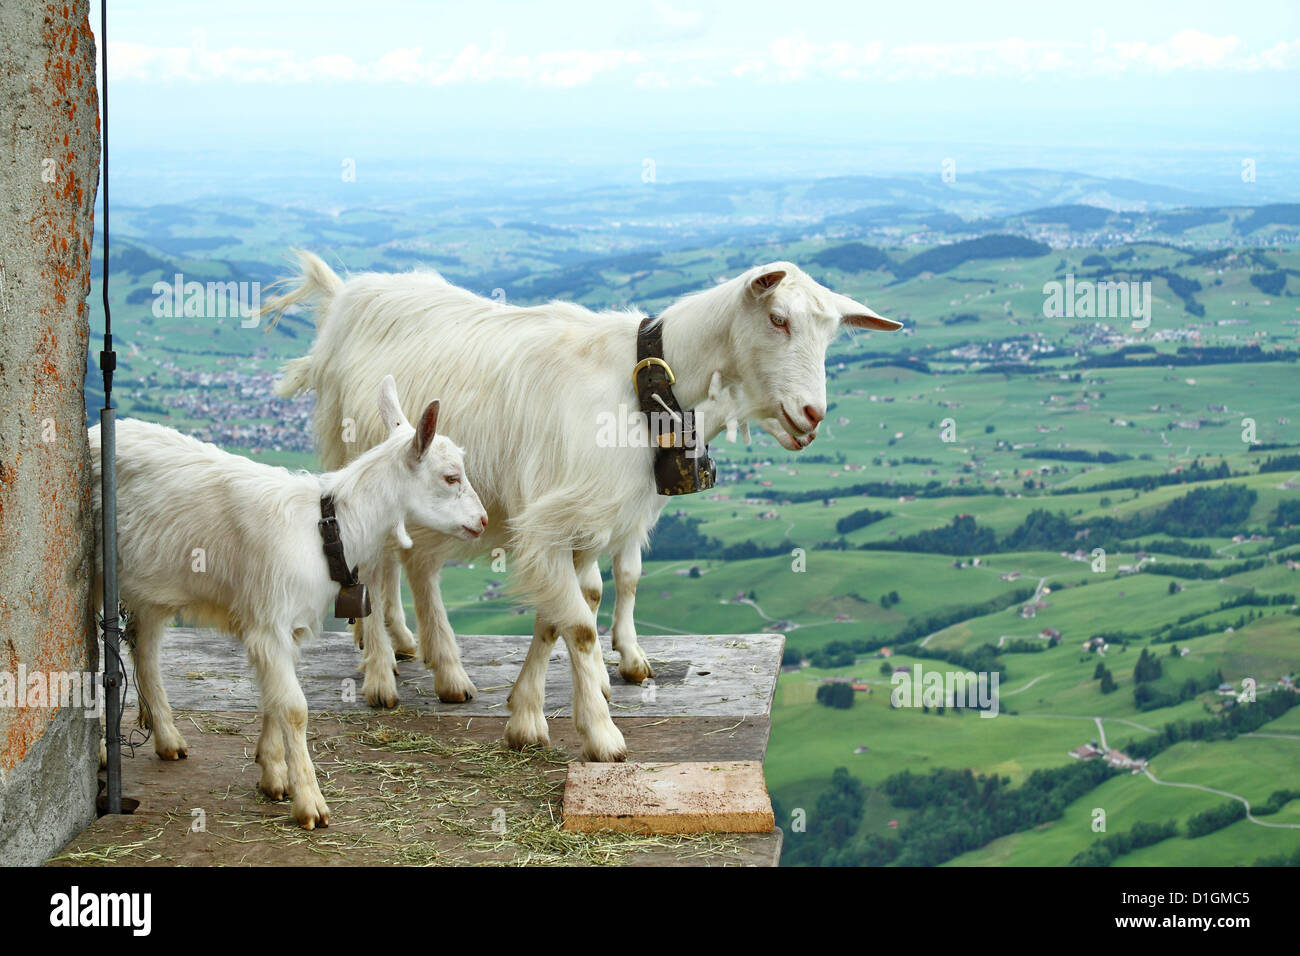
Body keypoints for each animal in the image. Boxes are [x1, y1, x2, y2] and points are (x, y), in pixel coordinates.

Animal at [89, 376, 487, 828]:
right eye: (451, 477)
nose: (483, 521)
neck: (327, 527)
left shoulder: (288, 627)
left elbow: (273, 699)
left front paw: (273, 773)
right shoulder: (269, 621)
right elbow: (294, 707)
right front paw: (310, 802)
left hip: (154, 585)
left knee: (145, 647)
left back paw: (168, 738)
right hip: (98, 570)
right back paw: (103, 752)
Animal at [268, 252, 900, 760]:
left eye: (830, 336)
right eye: (777, 319)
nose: (812, 415)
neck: (642, 387)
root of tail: (346, 295)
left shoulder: (580, 525)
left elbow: (567, 611)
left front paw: (531, 712)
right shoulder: (550, 523)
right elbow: (577, 623)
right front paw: (599, 733)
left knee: (416, 565)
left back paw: (433, 660)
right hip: (365, 467)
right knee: (376, 566)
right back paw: (381, 674)